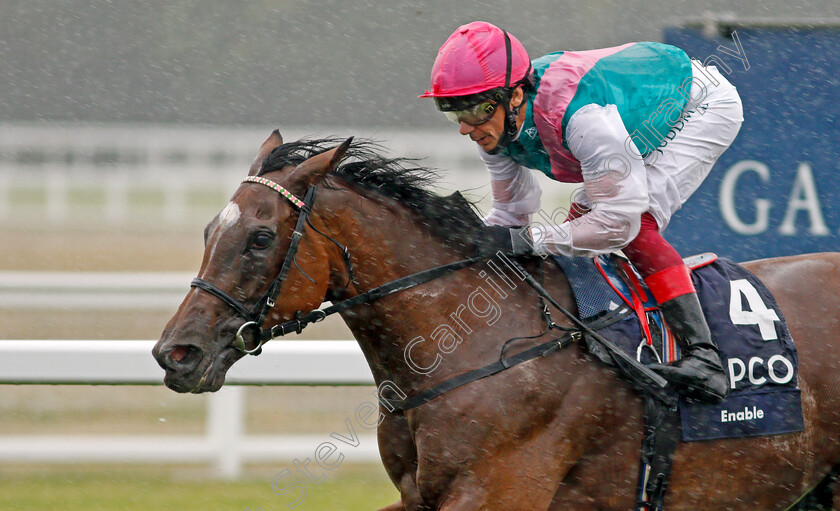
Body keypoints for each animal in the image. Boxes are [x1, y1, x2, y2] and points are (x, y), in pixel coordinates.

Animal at [154, 133, 840, 511]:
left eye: (261, 238)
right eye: (210, 230)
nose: (176, 353)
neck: (475, 345)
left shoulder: (501, 490)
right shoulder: (418, 497)